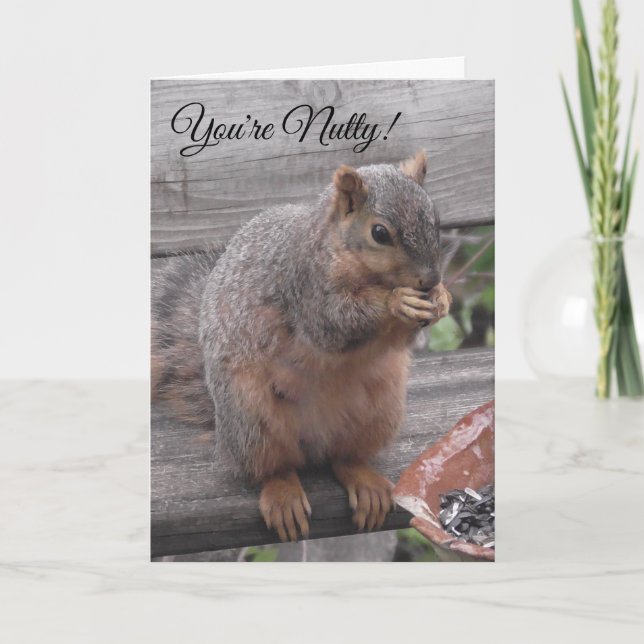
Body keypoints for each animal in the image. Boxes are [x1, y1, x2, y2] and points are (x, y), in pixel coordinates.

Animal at [151, 150, 452, 542]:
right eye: (379, 233)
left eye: (436, 218)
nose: (430, 279)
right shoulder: (304, 286)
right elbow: (334, 322)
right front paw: (397, 301)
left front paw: (442, 299)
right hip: (252, 419)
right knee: (272, 467)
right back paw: (283, 494)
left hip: (379, 410)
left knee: (344, 458)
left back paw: (364, 482)